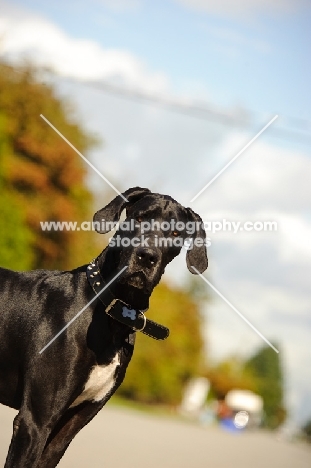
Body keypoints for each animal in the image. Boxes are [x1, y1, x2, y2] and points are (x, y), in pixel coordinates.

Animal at [0, 187, 210, 468]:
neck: (111, 310)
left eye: (176, 233)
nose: (147, 256)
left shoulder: (65, 431)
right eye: (139, 218)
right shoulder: (34, 422)